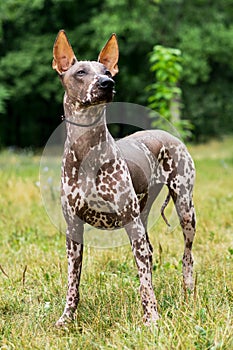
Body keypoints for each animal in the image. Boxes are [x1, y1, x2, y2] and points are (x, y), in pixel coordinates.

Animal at [52, 30, 196, 328]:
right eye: (81, 72)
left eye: (107, 71)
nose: (107, 83)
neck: (88, 150)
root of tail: (168, 134)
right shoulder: (73, 231)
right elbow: (73, 282)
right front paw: (67, 317)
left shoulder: (132, 226)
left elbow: (144, 283)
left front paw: (151, 318)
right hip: (143, 214)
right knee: (151, 254)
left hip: (184, 208)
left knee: (186, 254)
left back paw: (187, 289)